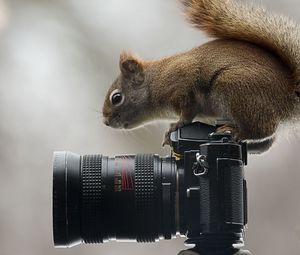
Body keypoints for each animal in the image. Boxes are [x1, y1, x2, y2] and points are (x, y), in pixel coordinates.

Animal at [102, 0, 300, 153]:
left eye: (116, 98)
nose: (106, 122)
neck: (156, 81)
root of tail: (289, 95)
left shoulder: (183, 84)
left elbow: (188, 112)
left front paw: (176, 126)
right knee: (267, 142)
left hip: (235, 89)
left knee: (263, 129)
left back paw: (236, 133)